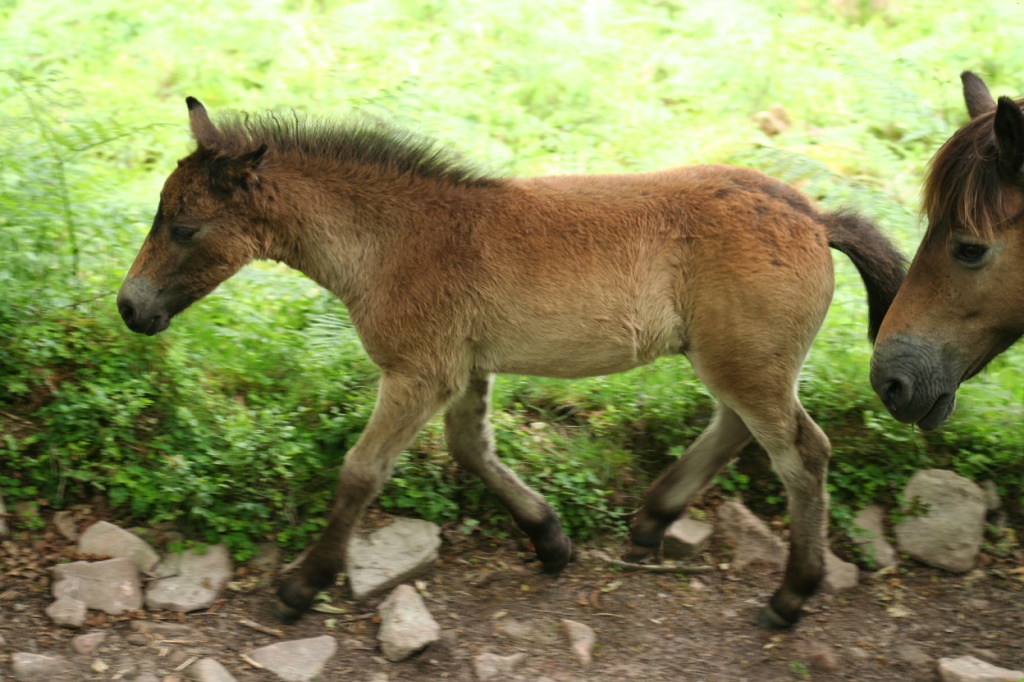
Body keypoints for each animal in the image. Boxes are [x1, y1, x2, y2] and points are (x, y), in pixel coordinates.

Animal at [117, 97, 905, 629]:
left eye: (183, 227)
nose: (130, 307)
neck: (391, 238)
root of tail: (815, 218)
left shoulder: (419, 373)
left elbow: (362, 472)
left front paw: (302, 584)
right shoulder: (465, 369)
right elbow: (472, 449)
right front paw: (550, 539)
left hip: (745, 362)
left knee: (803, 452)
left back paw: (790, 595)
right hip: (739, 360)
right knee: (740, 428)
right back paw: (652, 520)